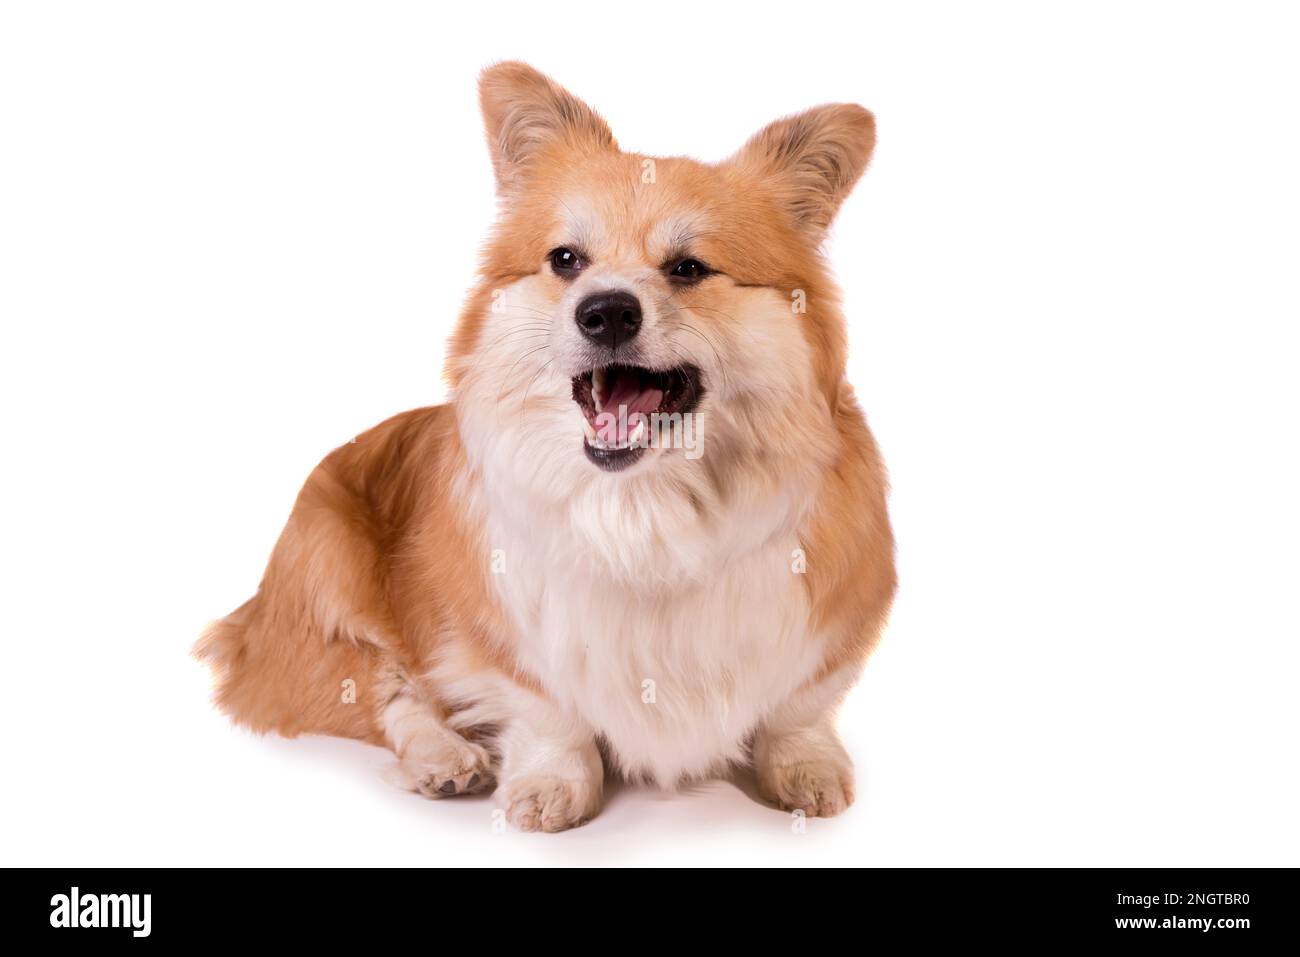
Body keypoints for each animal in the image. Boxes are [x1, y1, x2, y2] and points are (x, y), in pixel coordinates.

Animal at [197, 63, 899, 832]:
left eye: (687, 268)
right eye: (566, 259)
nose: (606, 310)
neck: (644, 508)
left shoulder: (836, 618)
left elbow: (798, 708)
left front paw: (806, 766)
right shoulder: (497, 629)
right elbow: (545, 711)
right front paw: (550, 783)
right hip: (328, 566)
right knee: (385, 688)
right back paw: (444, 757)